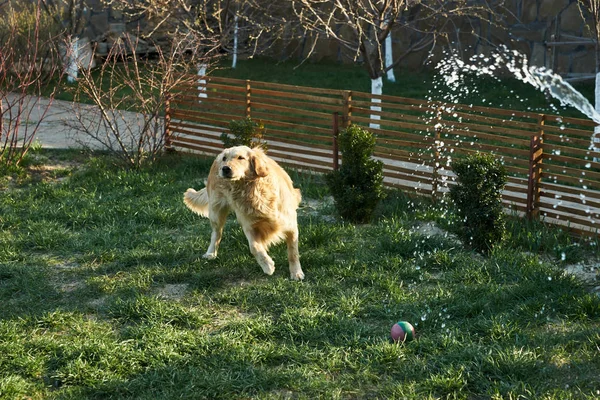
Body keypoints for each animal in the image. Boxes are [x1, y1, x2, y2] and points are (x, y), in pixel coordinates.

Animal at [183, 145, 304, 280]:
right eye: (225, 158)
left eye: (241, 158)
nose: (225, 168)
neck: (252, 191)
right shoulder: (249, 225)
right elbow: (254, 247)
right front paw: (267, 265)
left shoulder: (290, 225)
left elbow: (293, 252)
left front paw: (296, 272)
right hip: (216, 211)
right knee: (216, 234)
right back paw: (210, 253)